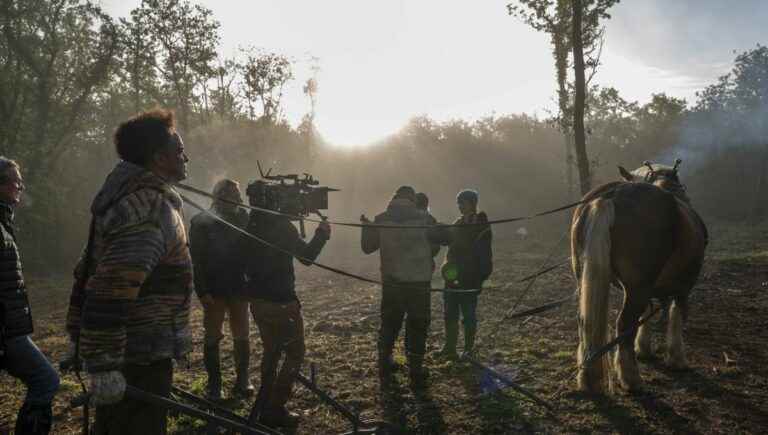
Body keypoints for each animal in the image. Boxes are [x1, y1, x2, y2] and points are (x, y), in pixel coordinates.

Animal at [568, 160, 708, 396]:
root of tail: (612, 194)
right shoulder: (684, 285)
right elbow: (677, 315)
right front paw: (677, 358)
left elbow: (646, 314)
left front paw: (643, 348)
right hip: (638, 287)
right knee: (624, 324)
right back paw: (631, 379)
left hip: (585, 278)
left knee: (585, 322)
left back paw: (589, 377)